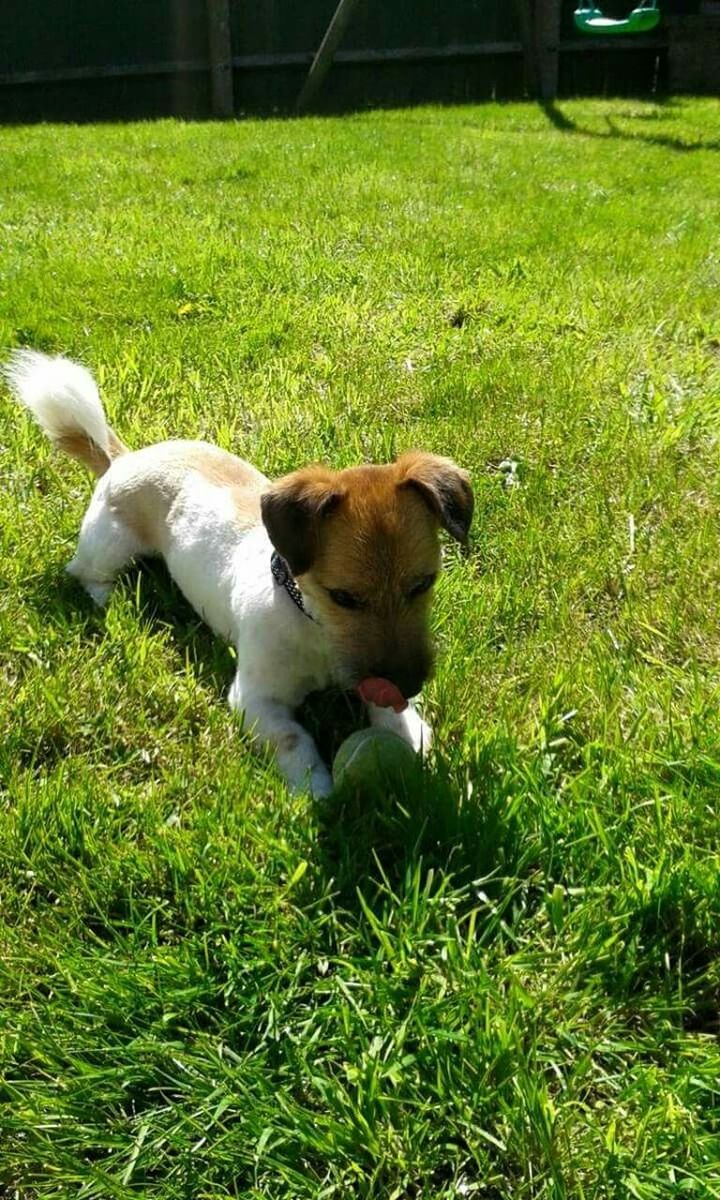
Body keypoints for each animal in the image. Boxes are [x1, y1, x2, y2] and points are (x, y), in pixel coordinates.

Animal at [4, 350, 472, 796]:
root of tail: (123, 459)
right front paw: (316, 788)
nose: (408, 684)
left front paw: (409, 732)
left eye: (424, 584)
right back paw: (112, 599)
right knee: (85, 572)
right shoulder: (255, 700)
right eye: (343, 597)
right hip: (109, 545)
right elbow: (293, 739)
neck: (308, 620)